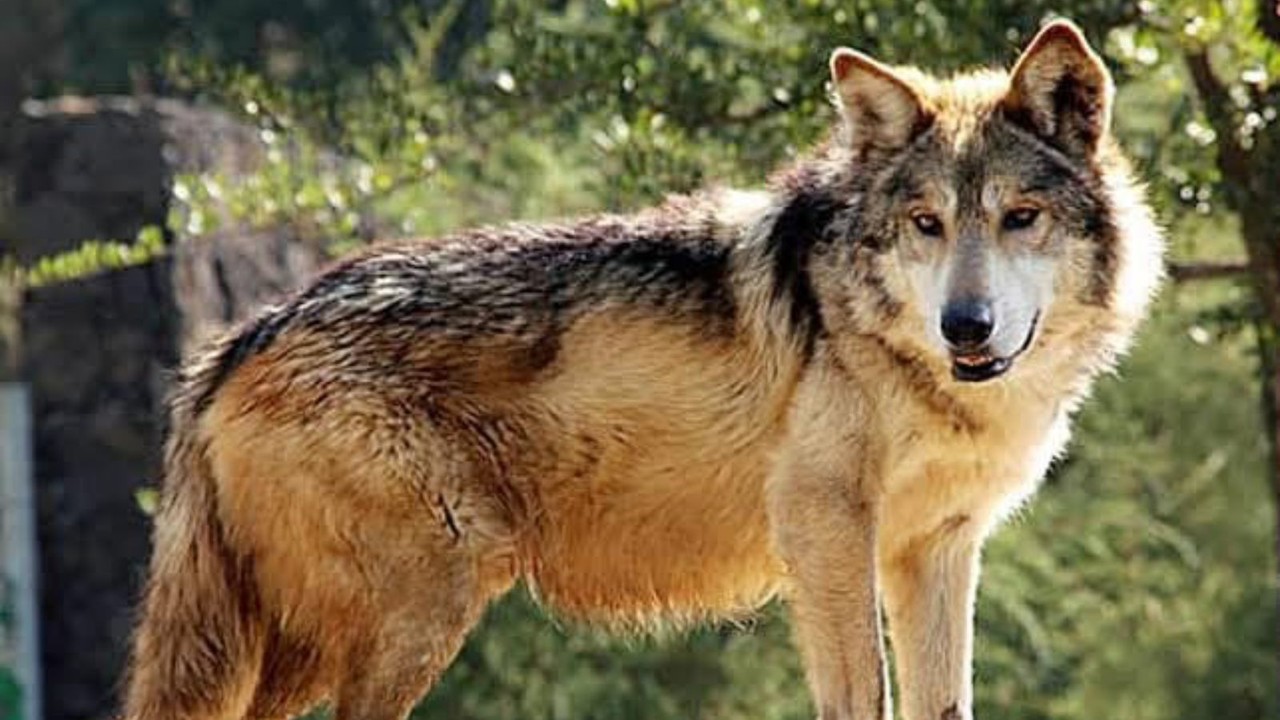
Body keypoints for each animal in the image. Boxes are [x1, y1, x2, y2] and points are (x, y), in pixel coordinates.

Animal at [124, 18, 1167, 717]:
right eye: (927, 224)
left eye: (1019, 217)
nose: (966, 326)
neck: (907, 363)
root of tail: (236, 340)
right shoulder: (825, 528)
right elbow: (860, 696)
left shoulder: (937, 549)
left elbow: (941, 701)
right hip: (412, 613)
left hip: (310, 643)